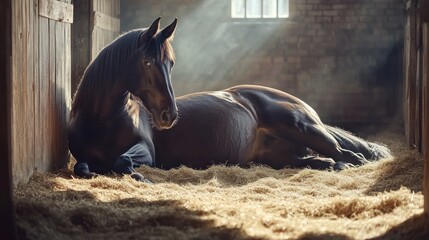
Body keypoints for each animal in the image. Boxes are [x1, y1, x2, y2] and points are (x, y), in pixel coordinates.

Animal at [67, 16, 392, 182]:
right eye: (147, 62)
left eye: (171, 63)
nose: (169, 115)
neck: (102, 119)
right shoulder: (83, 157)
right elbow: (81, 168)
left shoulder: (147, 150)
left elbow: (122, 160)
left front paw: (139, 177)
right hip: (279, 155)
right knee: (323, 159)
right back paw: (330, 166)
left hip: (302, 127)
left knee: (350, 155)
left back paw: (346, 165)